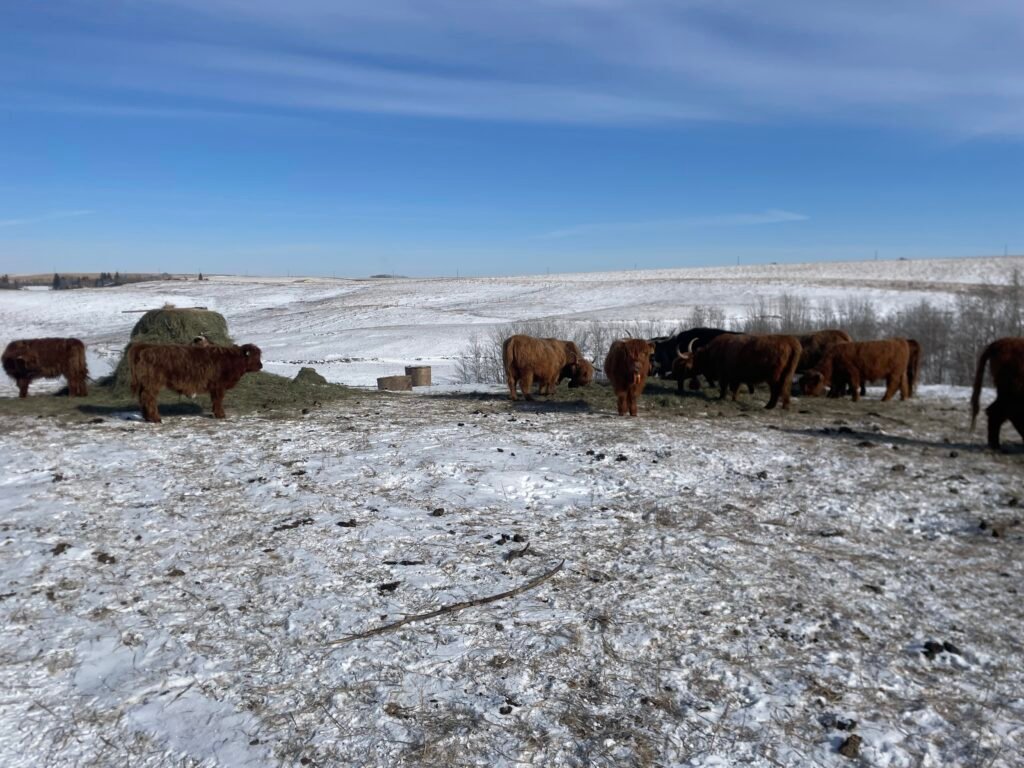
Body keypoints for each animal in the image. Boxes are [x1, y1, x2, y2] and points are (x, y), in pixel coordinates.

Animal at [129, 342, 263, 423]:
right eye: (255, 356)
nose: (261, 365)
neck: (232, 360)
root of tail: (146, 347)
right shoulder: (218, 385)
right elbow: (218, 400)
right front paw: (220, 415)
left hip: (146, 384)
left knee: (143, 398)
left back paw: (148, 418)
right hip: (153, 383)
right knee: (149, 399)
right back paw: (155, 418)